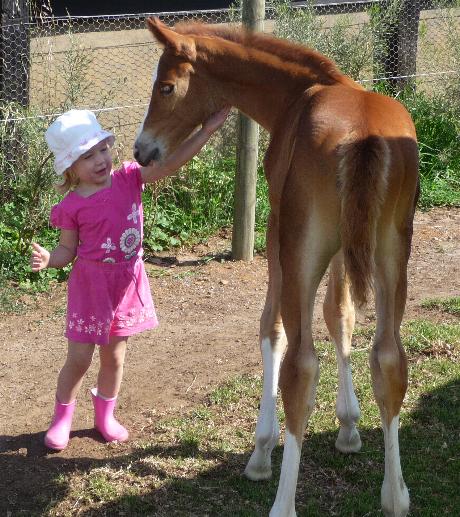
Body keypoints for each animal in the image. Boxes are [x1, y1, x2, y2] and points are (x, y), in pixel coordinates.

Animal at [135, 17, 418, 516]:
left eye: (166, 86)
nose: (141, 150)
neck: (298, 93)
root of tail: (365, 138)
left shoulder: (276, 229)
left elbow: (272, 328)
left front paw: (262, 449)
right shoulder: (346, 246)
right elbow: (340, 316)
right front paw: (349, 426)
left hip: (301, 247)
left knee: (301, 365)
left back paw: (282, 501)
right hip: (390, 250)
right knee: (388, 356)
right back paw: (395, 495)